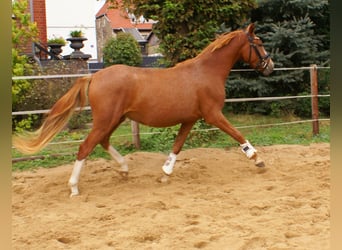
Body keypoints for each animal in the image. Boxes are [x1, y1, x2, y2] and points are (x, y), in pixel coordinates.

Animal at [13, 23, 274, 195]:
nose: (270, 65)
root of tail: (94, 77)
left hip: (115, 119)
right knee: (85, 147)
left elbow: (177, 146)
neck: (206, 72)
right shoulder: (213, 115)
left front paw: (165, 174)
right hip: (106, 119)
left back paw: (124, 168)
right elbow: (237, 134)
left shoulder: (190, 119)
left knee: (102, 141)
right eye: (259, 43)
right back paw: (74, 187)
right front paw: (258, 160)